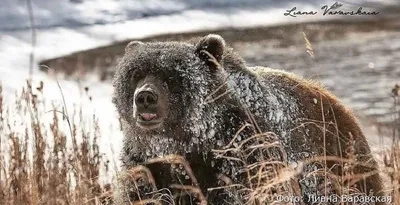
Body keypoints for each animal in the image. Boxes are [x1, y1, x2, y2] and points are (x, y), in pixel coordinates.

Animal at [111, 34, 384, 204]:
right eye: (136, 73)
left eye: (170, 76)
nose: (145, 97)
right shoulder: (146, 167)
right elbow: (144, 193)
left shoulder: (244, 154)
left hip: (339, 165)